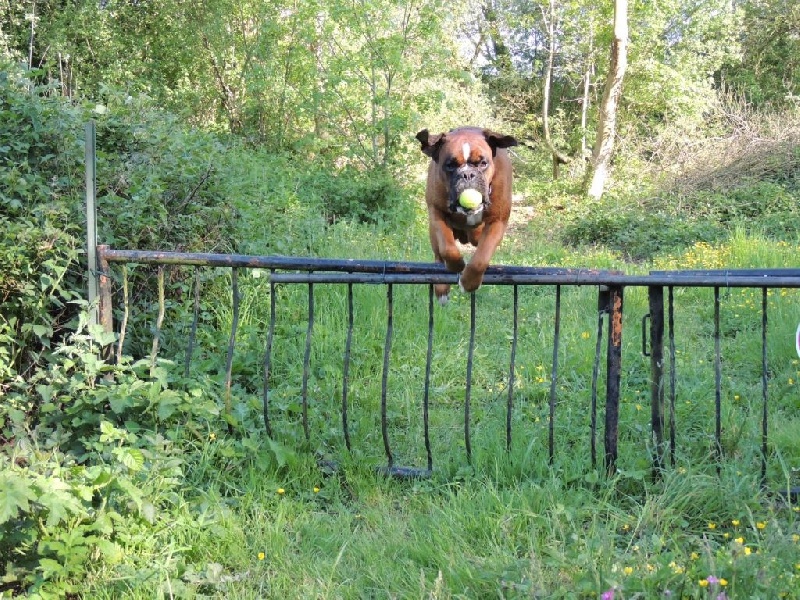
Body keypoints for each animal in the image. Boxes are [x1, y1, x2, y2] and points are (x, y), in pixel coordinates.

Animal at [418, 127, 520, 304]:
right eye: (450, 165)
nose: (467, 175)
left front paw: (469, 283)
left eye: (483, 163)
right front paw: (457, 265)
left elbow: (481, 258)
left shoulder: (497, 222)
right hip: (432, 231)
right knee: (438, 255)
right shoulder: (436, 213)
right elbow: (447, 248)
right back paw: (442, 289)